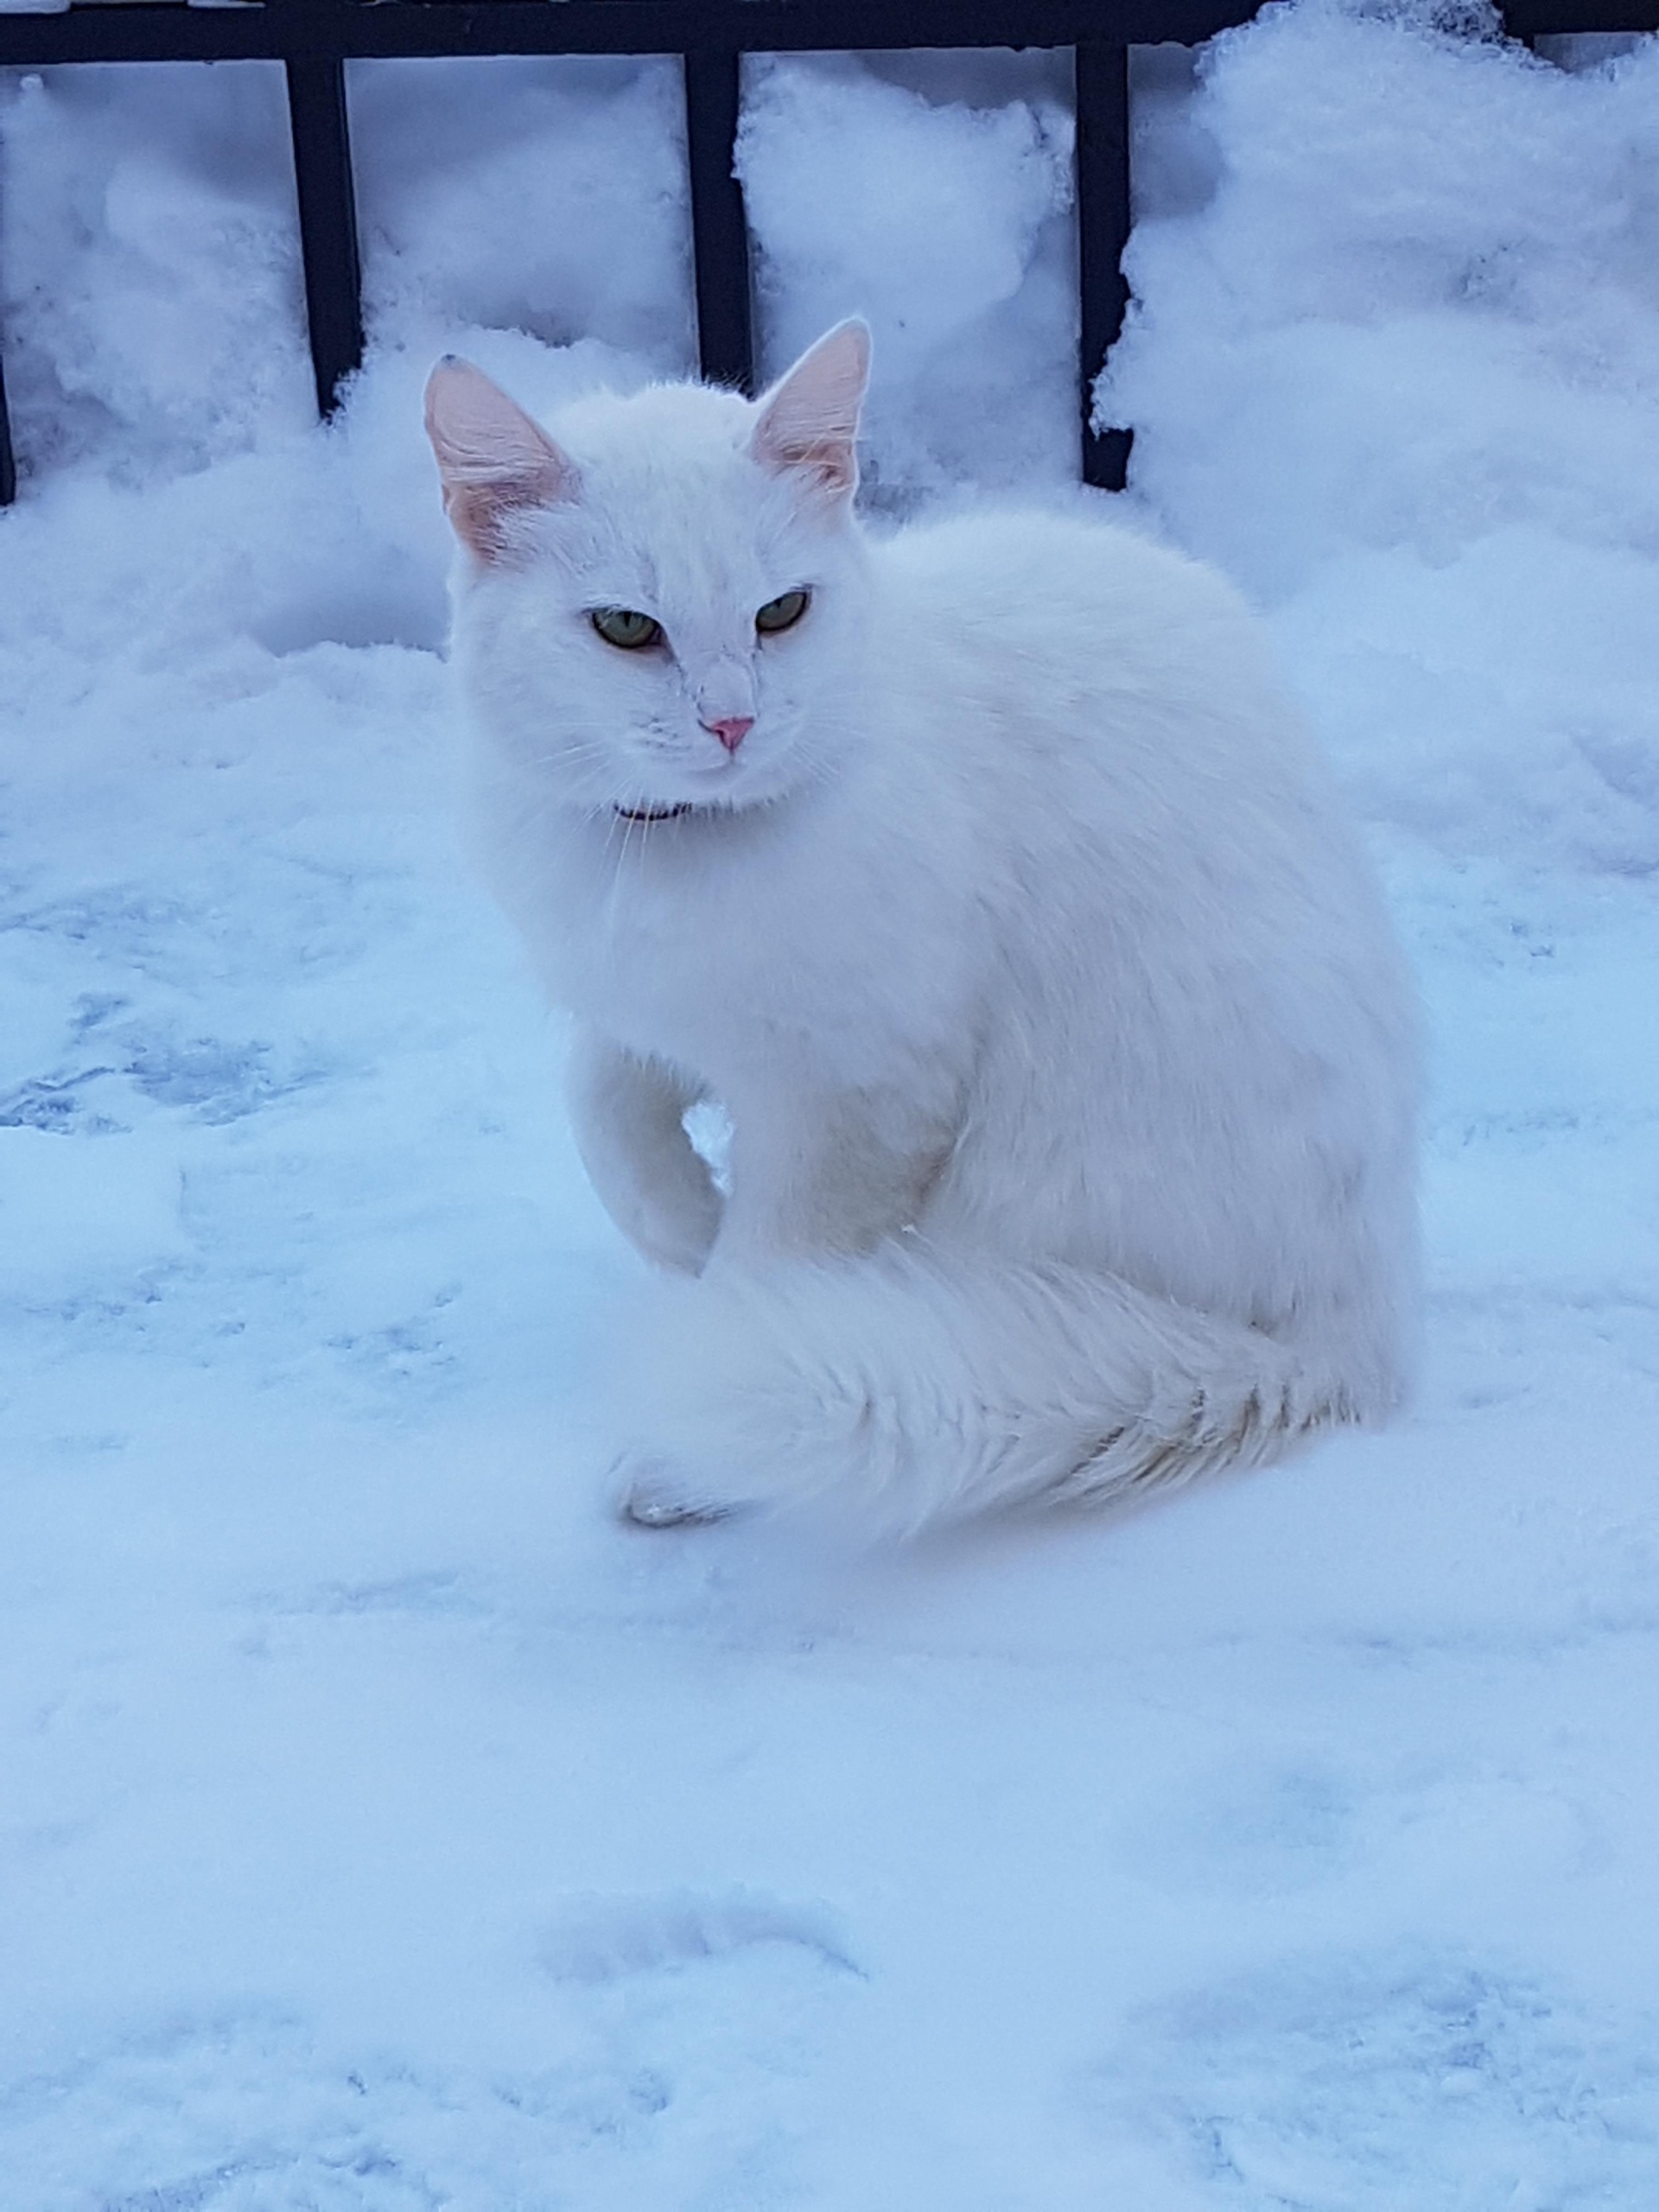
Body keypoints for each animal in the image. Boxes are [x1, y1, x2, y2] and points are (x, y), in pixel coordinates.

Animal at [422, 322, 1424, 1539]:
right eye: (625, 628)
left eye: (781, 613)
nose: (732, 722)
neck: (668, 851)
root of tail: (1356, 1338)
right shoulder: (646, 1010)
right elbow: (606, 1118)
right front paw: (688, 1222)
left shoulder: (859, 1092)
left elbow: (768, 1259)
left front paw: (683, 1420)